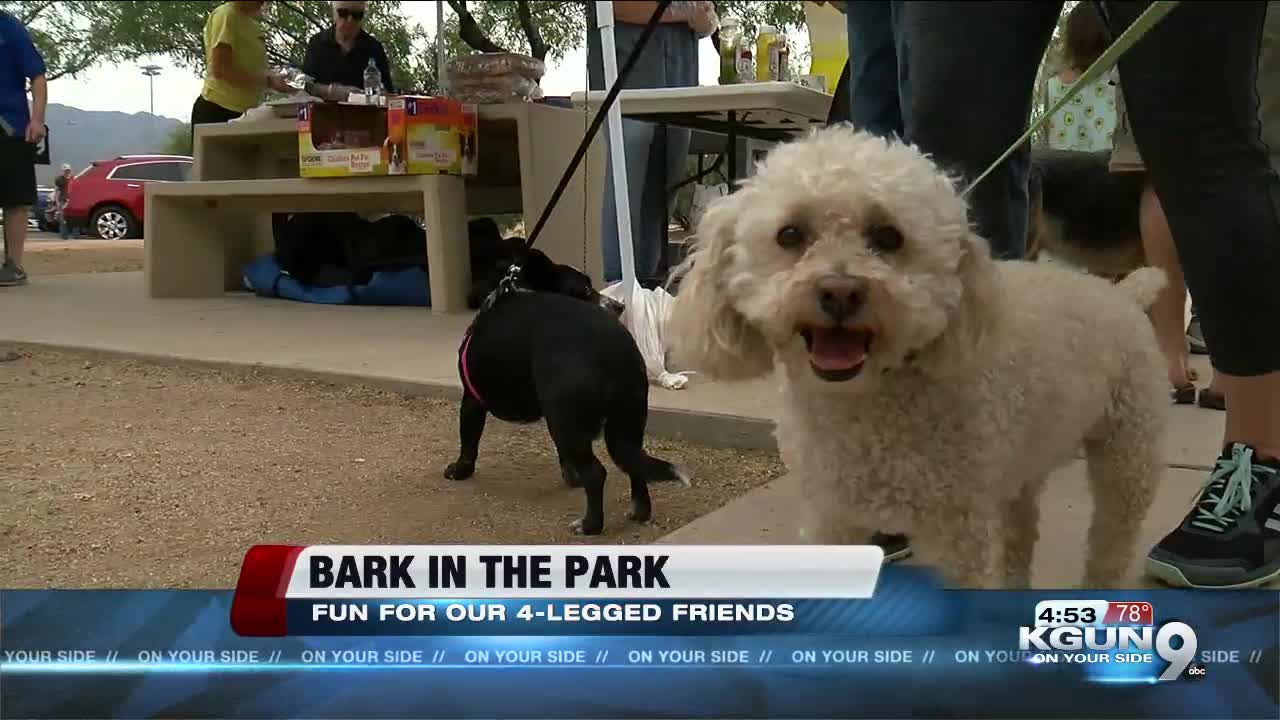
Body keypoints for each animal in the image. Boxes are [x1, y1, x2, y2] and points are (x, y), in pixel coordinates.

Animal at [442, 245, 686, 532]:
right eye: (585, 289)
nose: (619, 306)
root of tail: (612, 347)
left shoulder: (472, 400)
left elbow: (468, 441)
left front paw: (460, 470)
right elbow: (563, 456)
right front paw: (571, 476)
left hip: (567, 421)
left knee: (596, 473)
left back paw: (589, 525)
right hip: (623, 420)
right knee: (633, 461)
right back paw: (639, 511)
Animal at [670, 127, 1172, 589]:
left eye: (888, 237)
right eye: (790, 234)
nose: (839, 291)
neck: (868, 404)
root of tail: (1123, 294)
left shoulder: (957, 534)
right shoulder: (834, 515)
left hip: (1128, 455)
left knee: (1110, 544)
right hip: (1022, 464)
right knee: (1020, 532)